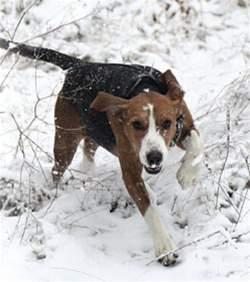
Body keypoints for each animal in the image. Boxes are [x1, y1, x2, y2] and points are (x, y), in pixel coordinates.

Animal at [0, 38, 203, 266]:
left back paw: (88, 171)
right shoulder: (130, 170)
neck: (145, 89)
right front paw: (165, 247)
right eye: (136, 124)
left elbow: (197, 143)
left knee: (89, 148)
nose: (154, 157)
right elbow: (148, 208)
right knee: (57, 170)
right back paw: (57, 192)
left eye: (167, 123)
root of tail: (79, 65)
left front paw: (187, 174)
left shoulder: (185, 125)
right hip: (65, 140)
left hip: (92, 129)